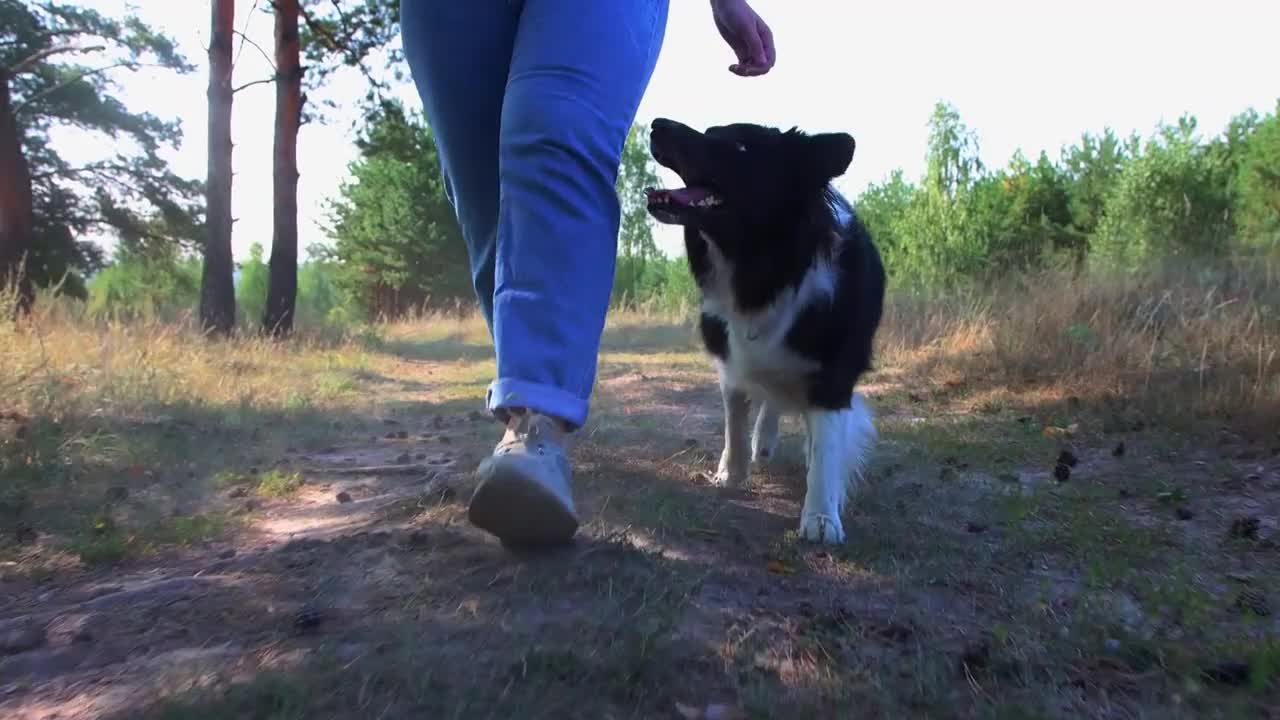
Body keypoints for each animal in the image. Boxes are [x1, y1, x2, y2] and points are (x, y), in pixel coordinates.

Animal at [645, 119, 885, 543]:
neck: (764, 267)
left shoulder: (833, 376)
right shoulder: (732, 356)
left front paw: (821, 515)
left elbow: (826, 448)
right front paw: (731, 472)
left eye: (741, 148)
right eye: (710, 130)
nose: (658, 123)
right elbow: (735, 421)